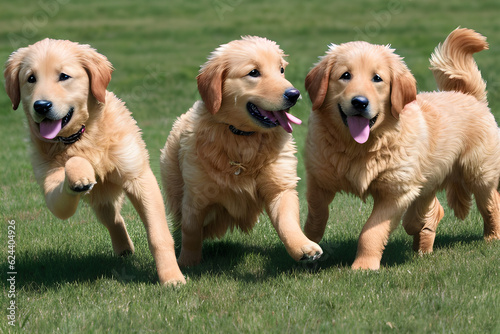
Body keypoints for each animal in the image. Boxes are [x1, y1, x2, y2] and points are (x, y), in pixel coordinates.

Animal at [3, 38, 186, 284]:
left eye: (64, 76)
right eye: (31, 78)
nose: (41, 106)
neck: (80, 135)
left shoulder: (139, 177)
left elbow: (159, 235)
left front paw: (172, 278)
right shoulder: (51, 187)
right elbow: (69, 175)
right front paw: (81, 171)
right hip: (101, 200)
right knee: (113, 219)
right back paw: (123, 249)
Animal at [161, 36, 324, 266]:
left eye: (281, 70)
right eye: (253, 72)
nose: (294, 94)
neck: (242, 137)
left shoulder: (279, 186)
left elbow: (287, 222)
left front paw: (304, 247)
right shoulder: (196, 196)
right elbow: (191, 231)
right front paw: (187, 263)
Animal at [302, 27, 500, 270]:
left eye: (377, 78)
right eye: (345, 75)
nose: (360, 102)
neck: (359, 147)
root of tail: (469, 96)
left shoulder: (395, 191)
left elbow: (372, 231)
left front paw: (364, 266)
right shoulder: (318, 177)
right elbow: (316, 211)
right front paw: (308, 240)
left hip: (478, 172)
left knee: (491, 203)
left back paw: (491, 237)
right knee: (432, 208)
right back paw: (422, 240)